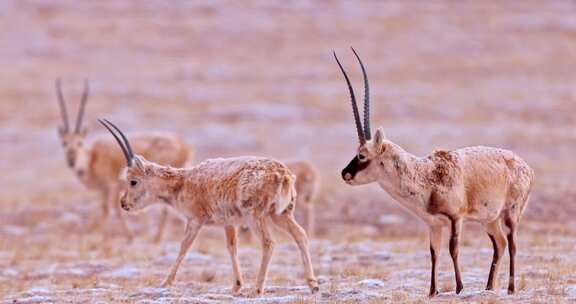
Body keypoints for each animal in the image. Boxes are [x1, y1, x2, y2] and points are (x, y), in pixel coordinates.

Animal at [54, 79, 190, 242]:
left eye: (79, 142)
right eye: (64, 143)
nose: (71, 160)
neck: (93, 157)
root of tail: (184, 147)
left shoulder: (111, 186)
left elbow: (109, 209)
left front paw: (113, 236)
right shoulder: (107, 189)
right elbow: (107, 208)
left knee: (164, 210)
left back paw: (156, 238)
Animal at [100, 119, 320, 296]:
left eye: (133, 181)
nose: (123, 203)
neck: (183, 182)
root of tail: (283, 174)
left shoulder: (195, 220)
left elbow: (184, 247)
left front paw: (165, 283)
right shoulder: (229, 223)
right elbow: (232, 247)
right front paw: (236, 285)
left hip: (255, 216)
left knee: (269, 243)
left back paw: (257, 290)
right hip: (281, 215)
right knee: (301, 235)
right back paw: (313, 285)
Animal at [332, 49, 536, 296]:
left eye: (362, 155)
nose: (345, 173)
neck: (425, 174)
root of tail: (525, 166)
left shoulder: (456, 218)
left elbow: (453, 249)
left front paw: (459, 288)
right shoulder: (433, 224)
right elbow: (433, 253)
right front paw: (432, 292)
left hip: (511, 213)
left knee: (512, 244)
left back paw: (511, 288)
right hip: (489, 219)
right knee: (500, 243)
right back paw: (488, 287)